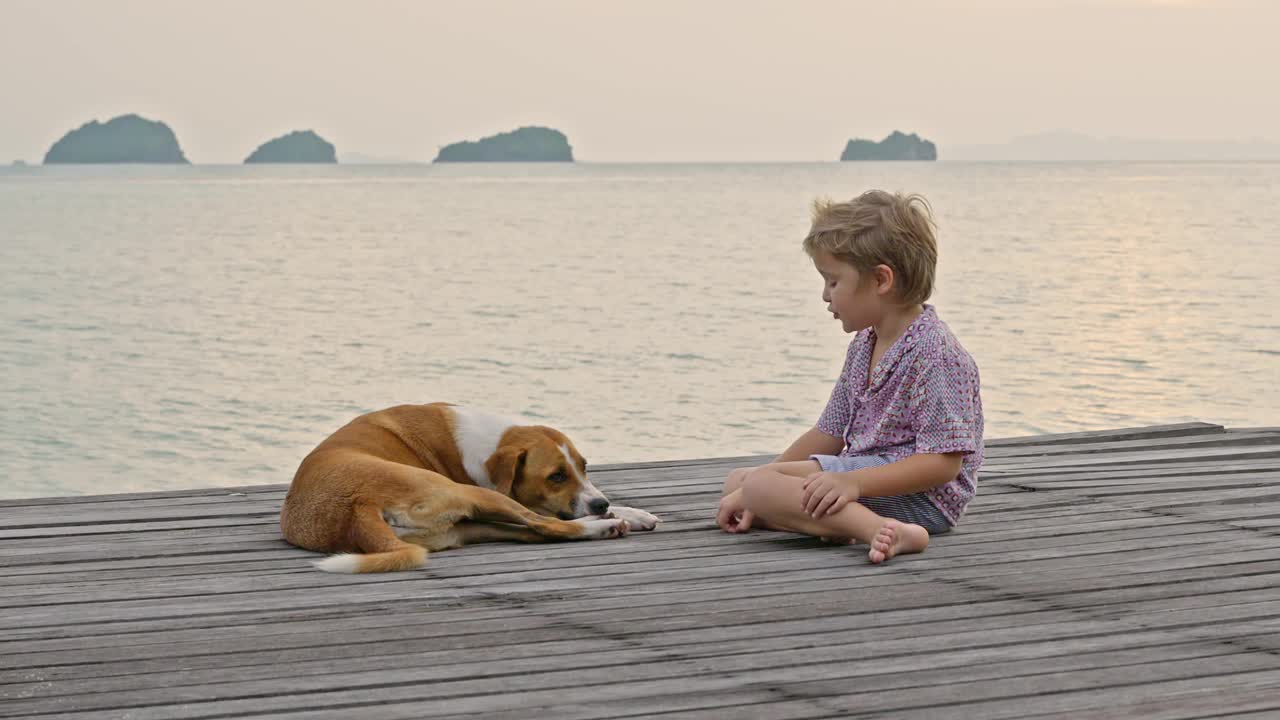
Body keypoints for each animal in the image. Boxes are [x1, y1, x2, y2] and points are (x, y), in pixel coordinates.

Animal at [280, 399, 660, 568]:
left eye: (584, 466)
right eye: (556, 476)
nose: (600, 504)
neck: (491, 441)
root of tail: (357, 506)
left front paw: (632, 512)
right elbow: (549, 515)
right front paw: (615, 513)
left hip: (469, 526)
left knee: (536, 531)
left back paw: (608, 522)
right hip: (469, 495)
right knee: (546, 525)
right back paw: (603, 525)